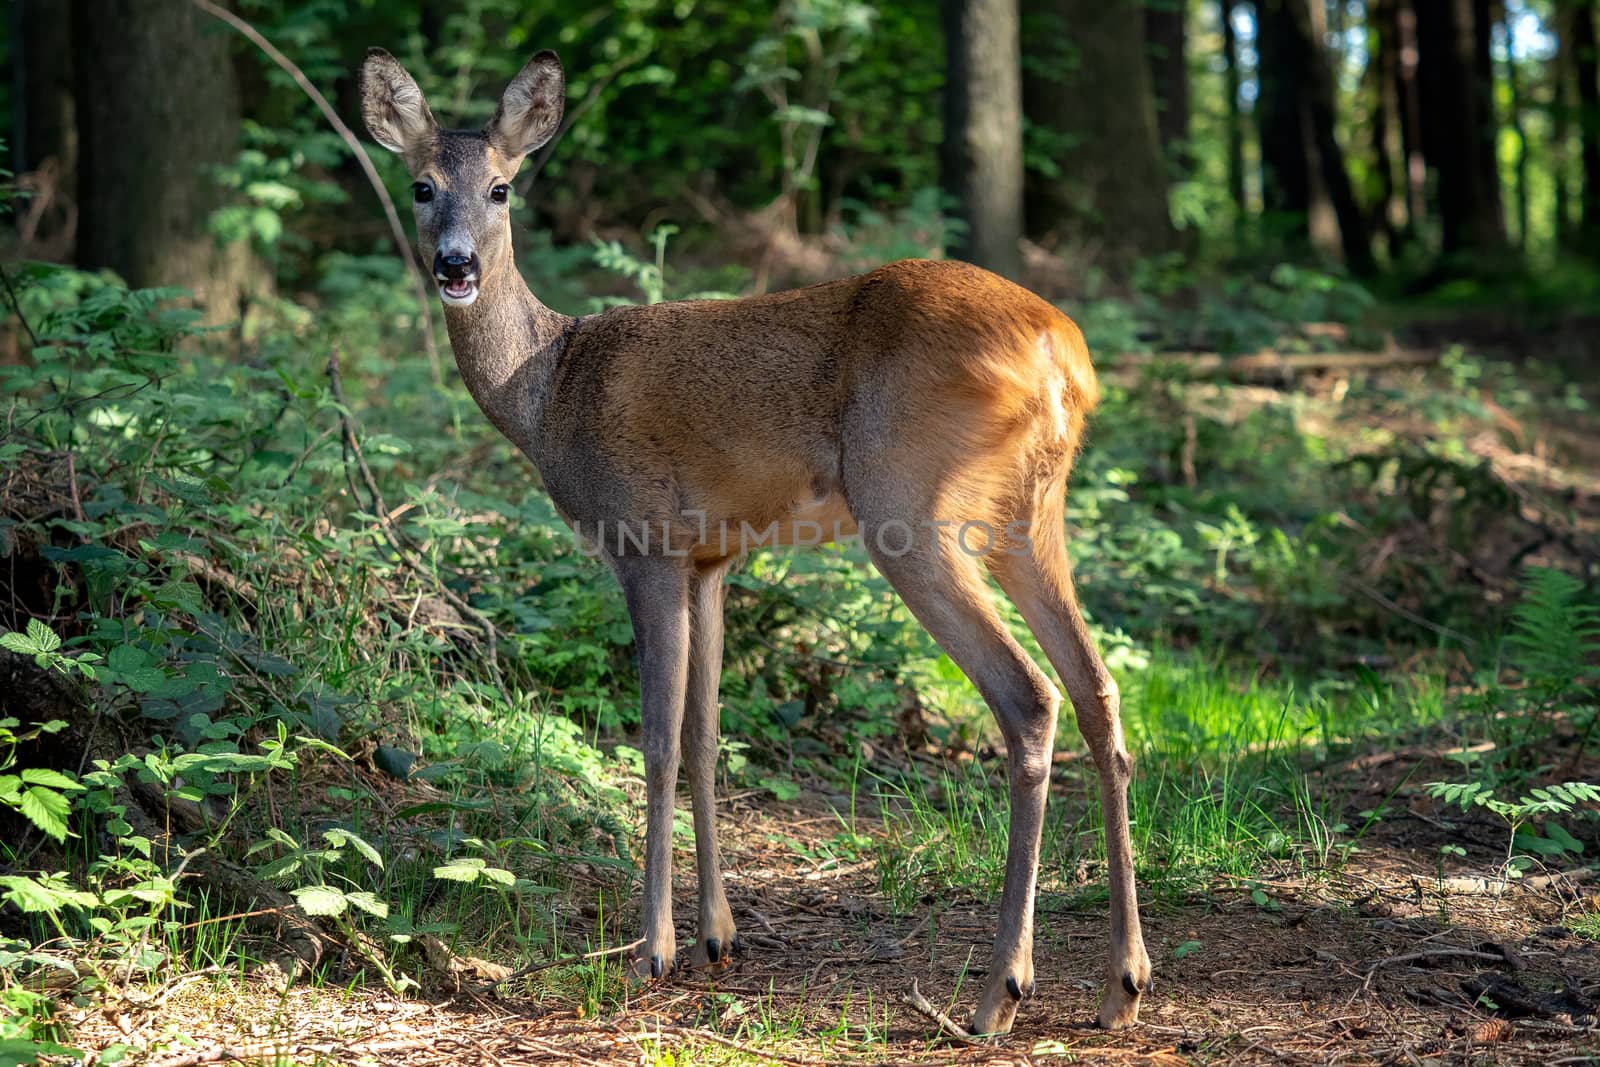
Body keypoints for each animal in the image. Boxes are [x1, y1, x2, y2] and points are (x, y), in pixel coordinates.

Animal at [360, 43, 1152, 1036]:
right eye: (422, 185)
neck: (549, 386)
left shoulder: (645, 540)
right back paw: (1124, 982)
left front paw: (653, 949)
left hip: (913, 506)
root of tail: (1062, 352)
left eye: (503, 188)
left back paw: (1000, 989)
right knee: (1099, 687)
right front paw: (717, 934)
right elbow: (707, 738)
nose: (455, 263)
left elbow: (656, 743)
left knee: (1031, 697)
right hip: (1027, 513)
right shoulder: (713, 558)